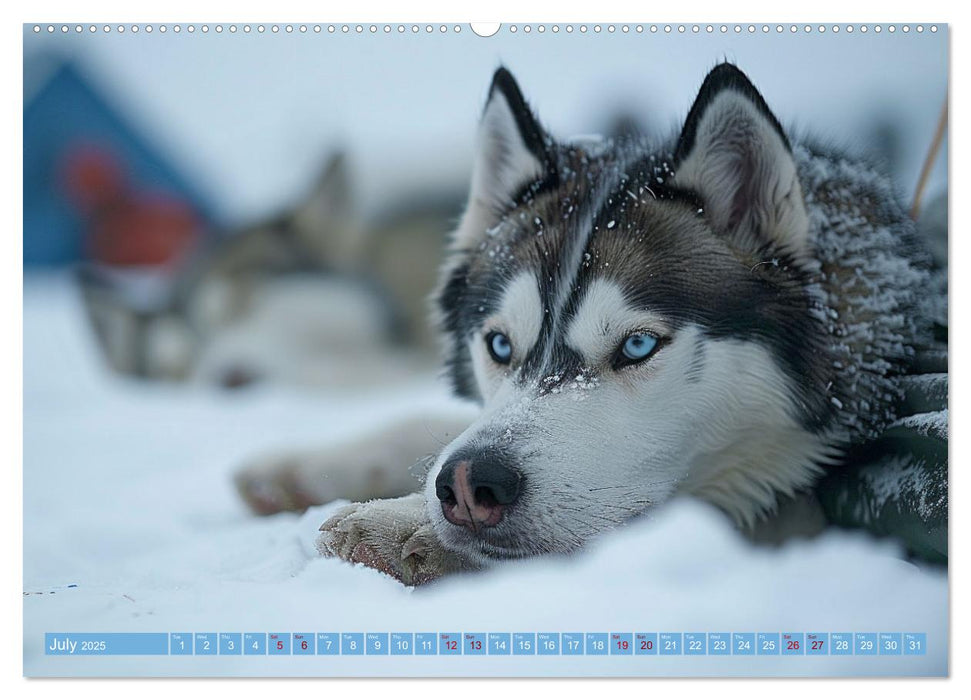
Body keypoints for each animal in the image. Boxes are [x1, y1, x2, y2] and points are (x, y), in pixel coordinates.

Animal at [239, 64, 944, 580]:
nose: (467, 485)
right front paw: (302, 470)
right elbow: (426, 426)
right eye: (500, 344)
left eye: (637, 345)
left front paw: (408, 524)